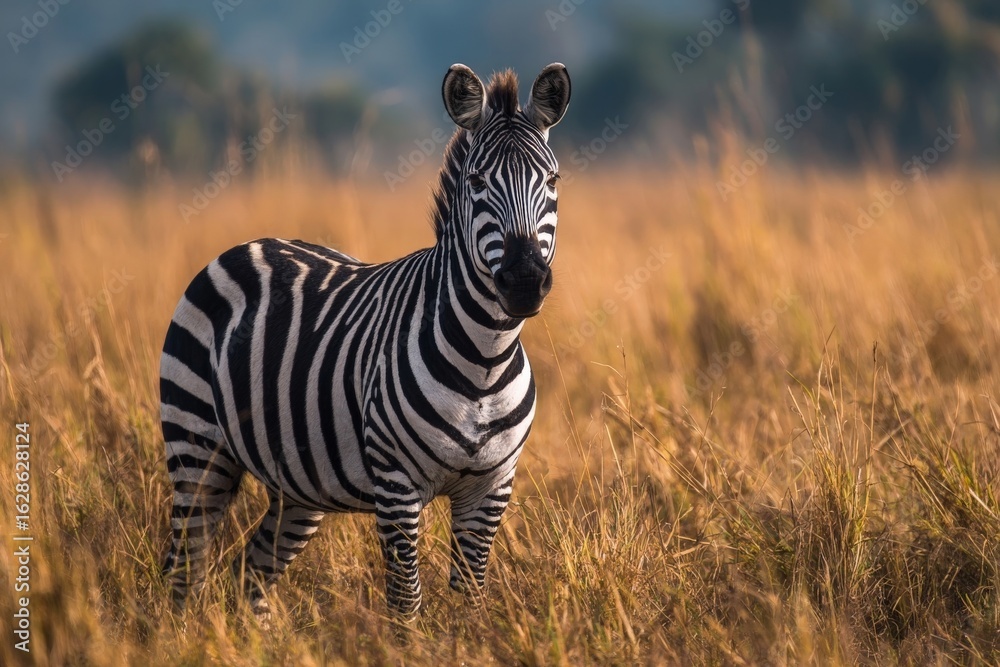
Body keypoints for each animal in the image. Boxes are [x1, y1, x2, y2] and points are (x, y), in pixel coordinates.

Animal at [159, 62, 571, 620]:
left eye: (551, 180)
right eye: (477, 182)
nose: (525, 281)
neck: (486, 358)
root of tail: (254, 244)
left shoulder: (490, 489)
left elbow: (470, 599)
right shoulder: (396, 487)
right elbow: (406, 602)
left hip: (298, 483)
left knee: (252, 571)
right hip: (196, 444)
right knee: (185, 568)